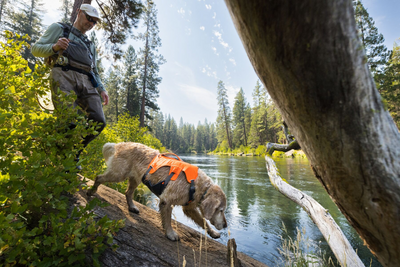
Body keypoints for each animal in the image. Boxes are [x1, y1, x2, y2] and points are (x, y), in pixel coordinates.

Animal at [86, 143, 228, 242]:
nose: (226, 225)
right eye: (221, 210)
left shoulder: (189, 208)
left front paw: (213, 233)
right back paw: (91, 191)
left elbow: (204, 222)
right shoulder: (167, 201)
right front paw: (170, 234)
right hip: (118, 174)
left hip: (135, 179)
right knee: (99, 177)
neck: (197, 185)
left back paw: (132, 207)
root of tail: (120, 144)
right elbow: (168, 221)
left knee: (128, 192)